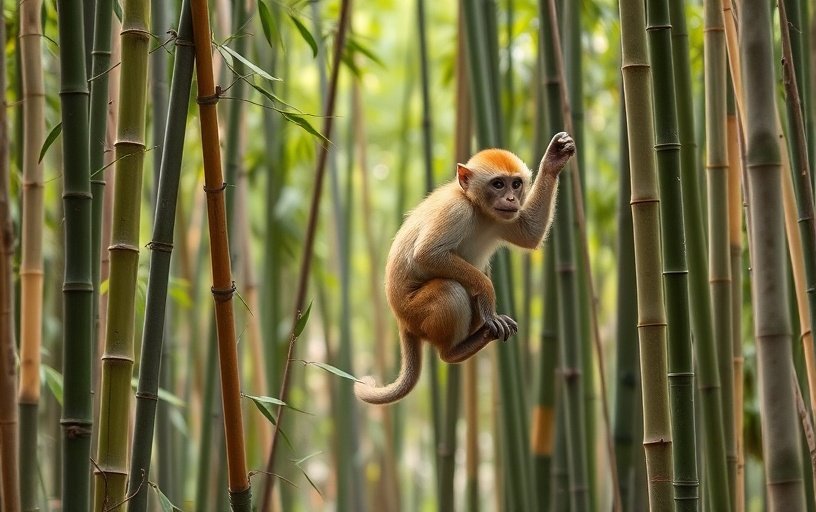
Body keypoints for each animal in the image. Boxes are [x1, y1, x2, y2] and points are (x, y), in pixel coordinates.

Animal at [354, 132, 575, 405]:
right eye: (498, 184)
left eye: (516, 184)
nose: (511, 199)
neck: (477, 208)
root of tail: (401, 320)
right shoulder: (456, 211)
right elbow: (426, 254)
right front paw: (488, 295)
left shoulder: (503, 217)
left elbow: (529, 234)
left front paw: (554, 158)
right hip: (415, 312)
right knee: (450, 288)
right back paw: (454, 352)